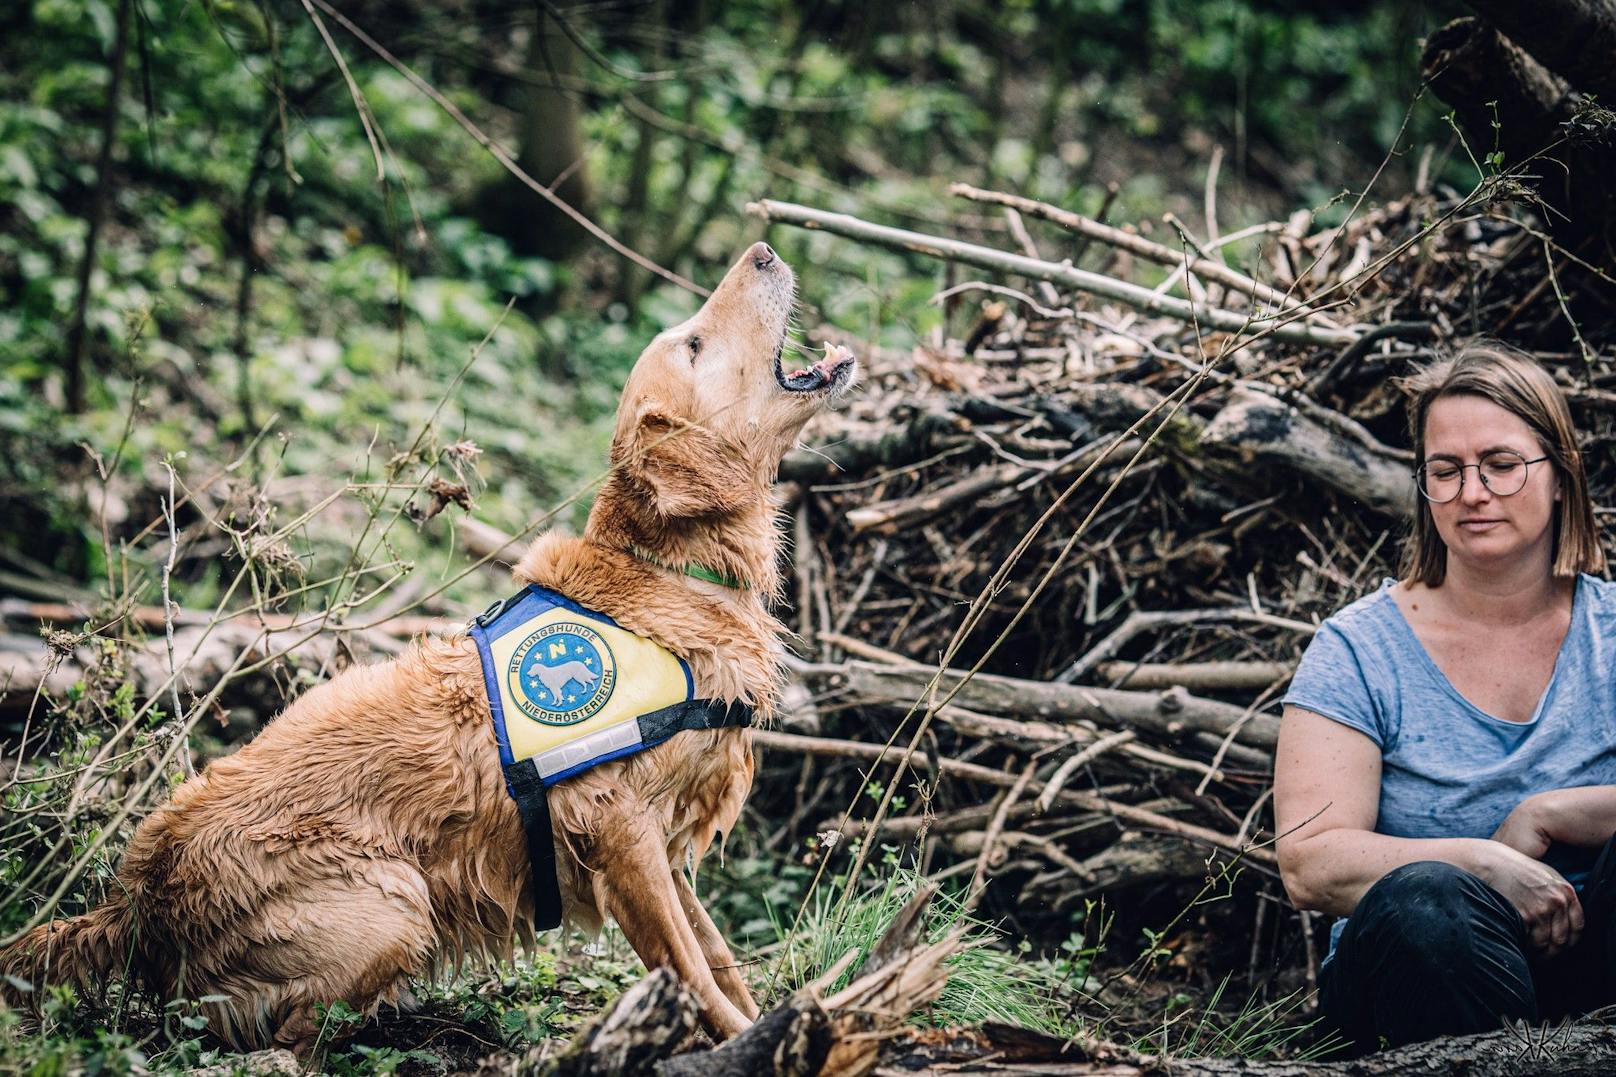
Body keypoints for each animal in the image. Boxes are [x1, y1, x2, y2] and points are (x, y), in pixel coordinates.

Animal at [0, 240, 859, 1047]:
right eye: (692, 344)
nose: (764, 250)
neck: (669, 570)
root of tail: (135, 898)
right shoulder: (621, 829)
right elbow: (690, 967)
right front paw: (749, 1037)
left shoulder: (667, 846)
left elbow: (717, 955)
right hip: (395, 901)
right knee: (287, 1031)